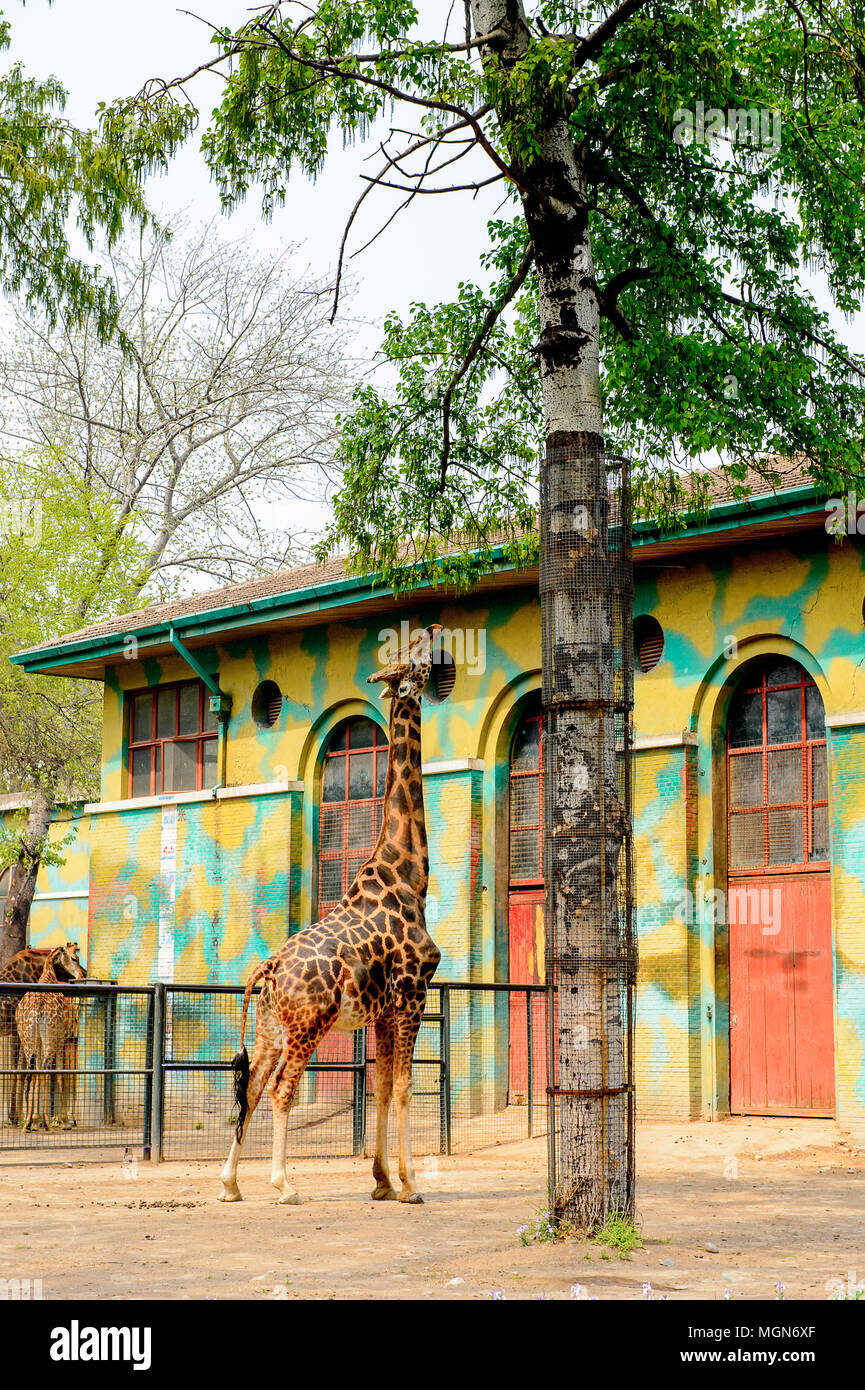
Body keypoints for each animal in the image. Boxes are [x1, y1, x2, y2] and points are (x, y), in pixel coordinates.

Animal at [0, 939, 85, 1123]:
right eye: (74, 958)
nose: (83, 976)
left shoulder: (17, 1032)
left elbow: (21, 1071)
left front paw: (19, 1115)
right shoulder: (18, 1032)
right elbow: (21, 1072)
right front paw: (20, 1115)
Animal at [219, 625, 445, 1200]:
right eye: (411, 656)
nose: (435, 631)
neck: (410, 874)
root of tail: (270, 968)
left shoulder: (385, 1010)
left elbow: (382, 1087)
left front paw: (381, 1181)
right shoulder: (413, 994)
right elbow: (405, 1087)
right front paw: (409, 1185)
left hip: (271, 1028)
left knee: (253, 1087)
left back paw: (230, 1184)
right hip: (308, 1025)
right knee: (281, 1089)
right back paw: (283, 1185)